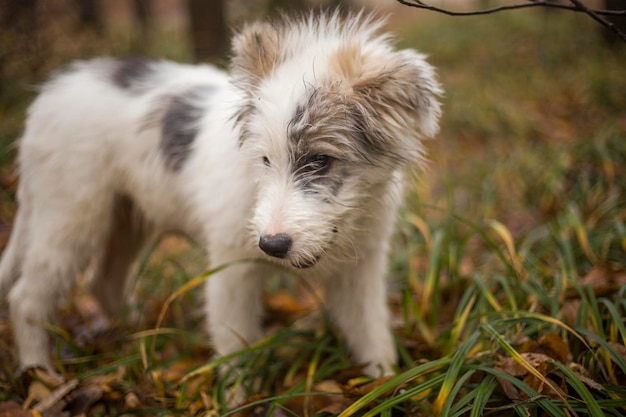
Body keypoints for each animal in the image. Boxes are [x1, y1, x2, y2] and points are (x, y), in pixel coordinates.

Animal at [0, 10, 438, 380]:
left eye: (320, 160)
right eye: (265, 159)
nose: (272, 245)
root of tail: (48, 96)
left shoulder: (360, 273)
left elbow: (372, 335)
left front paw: (386, 385)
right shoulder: (231, 273)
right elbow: (234, 348)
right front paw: (237, 397)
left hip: (127, 217)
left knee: (103, 281)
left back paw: (137, 336)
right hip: (70, 217)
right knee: (26, 298)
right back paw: (39, 374)